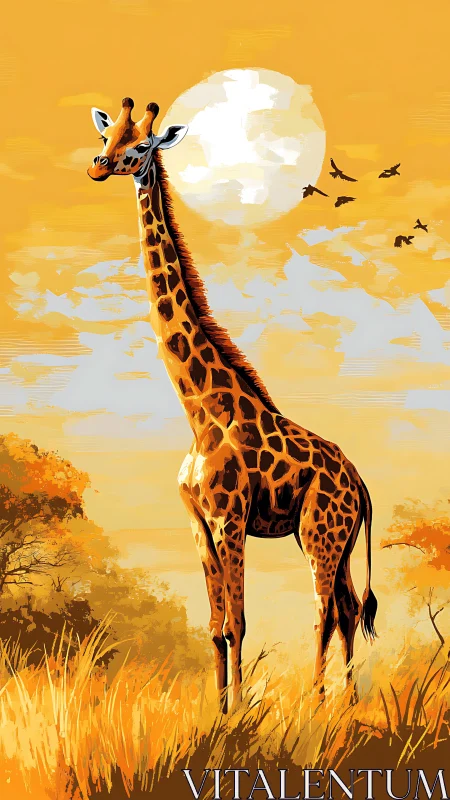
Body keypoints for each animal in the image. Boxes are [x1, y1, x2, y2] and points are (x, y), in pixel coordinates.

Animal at [87, 98, 378, 712]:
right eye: (107, 136)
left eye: (141, 146)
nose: (98, 166)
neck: (199, 414)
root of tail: (361, 485)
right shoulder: (198, 523)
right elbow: (215, 625)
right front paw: (217, 710)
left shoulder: (230, 517)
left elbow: (239, 621)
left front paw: (240, 711)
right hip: (331, 538)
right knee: (346, 608)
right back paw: (348, 705)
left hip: (319, 532)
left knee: (323, 610)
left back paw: (316, 703)